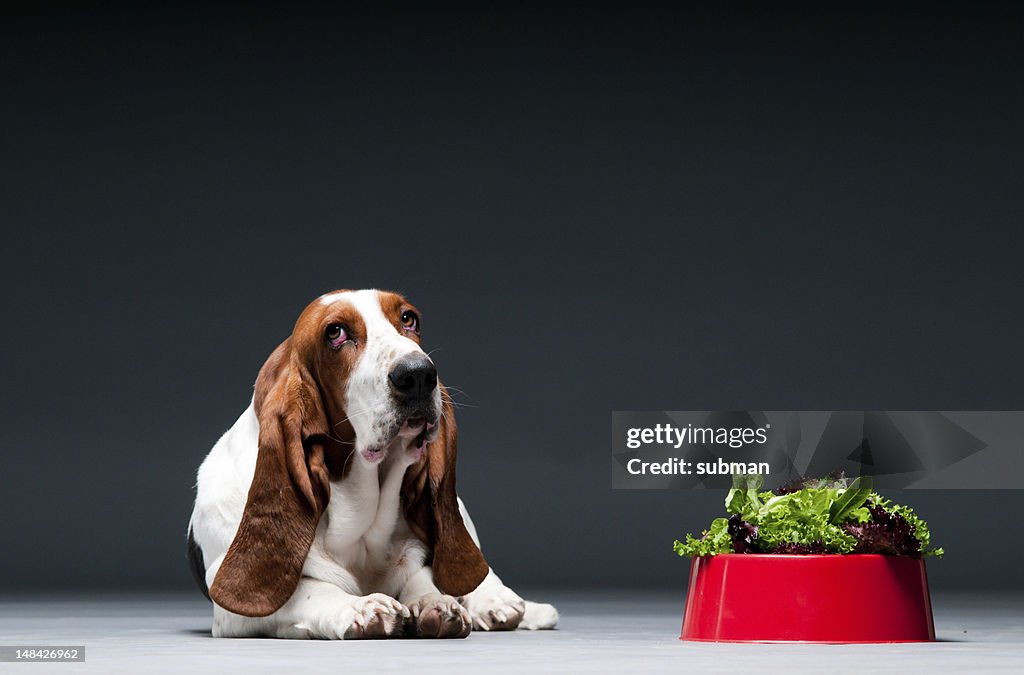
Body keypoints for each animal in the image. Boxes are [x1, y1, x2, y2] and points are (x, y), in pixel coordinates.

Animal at [188, 288, 561, 639]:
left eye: (409, 319)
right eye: (335, 332)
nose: (419, 375)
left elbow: (423, 577)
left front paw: (435, 603)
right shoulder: (231, 612)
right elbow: (307, 591)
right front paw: (360, 607)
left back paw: (497, 601)